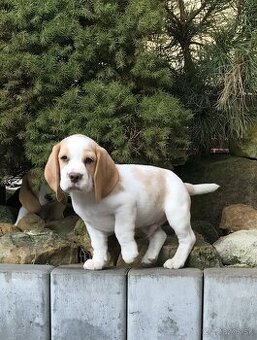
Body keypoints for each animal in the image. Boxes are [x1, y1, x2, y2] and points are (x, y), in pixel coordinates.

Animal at [44, 134, 218, 270]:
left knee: (188, 238)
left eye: (89, 160)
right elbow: (98, 244)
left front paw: (129, 254)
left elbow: (121, 232)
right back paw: (149, 258)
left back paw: (176, 261)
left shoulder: (125, 209)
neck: (89, 197)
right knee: (159, 236)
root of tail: (183, 183)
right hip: (147, 220)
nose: (74, 176)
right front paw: (98, 262)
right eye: (64, 158)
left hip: (176, 215)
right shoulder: (91, 224)